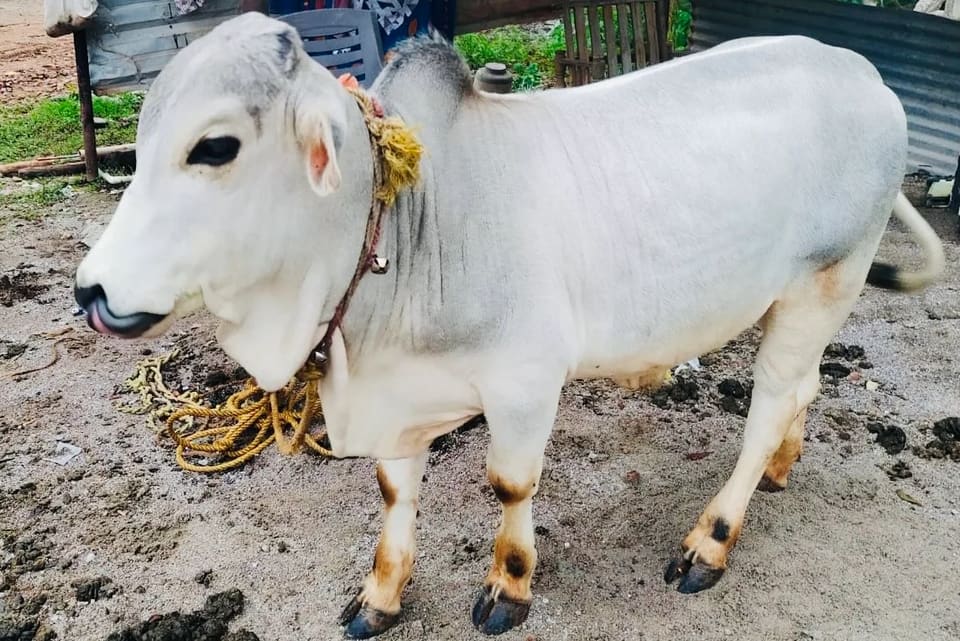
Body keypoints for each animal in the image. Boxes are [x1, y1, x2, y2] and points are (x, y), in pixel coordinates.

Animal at [73, 13, 944, 639]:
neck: (413, 223)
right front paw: (381, 594)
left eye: (215, 146)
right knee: (801, 389)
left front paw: (510, 584)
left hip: (824, 280)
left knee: (766, 406)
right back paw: (781, 468)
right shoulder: (398, 394)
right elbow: (394, 489)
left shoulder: (525, 382)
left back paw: (711, 539)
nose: (90, 291)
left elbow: (510, 483)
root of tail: (861, 72)